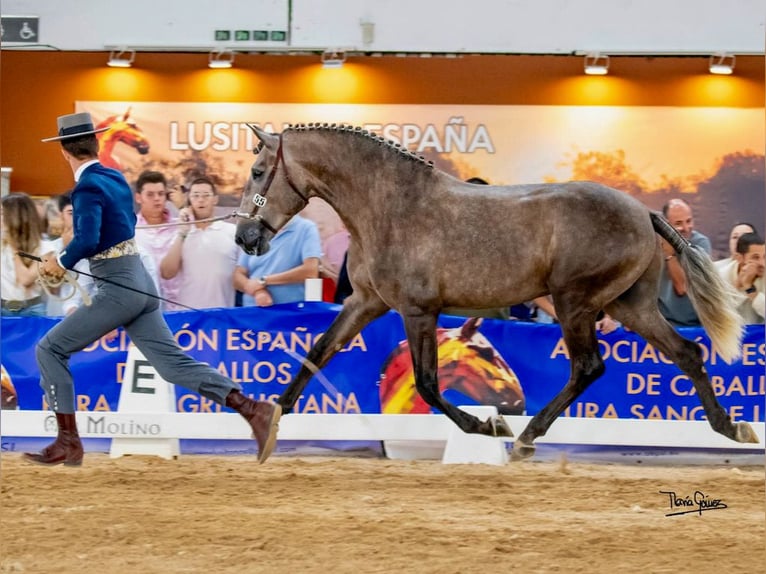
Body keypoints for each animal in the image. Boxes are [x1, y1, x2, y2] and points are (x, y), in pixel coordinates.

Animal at [236, 124, 760, 466]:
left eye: (259, 171)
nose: (245, 238)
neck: (389, 207)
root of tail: (645, 213)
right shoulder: (366, 302)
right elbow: (319, 350)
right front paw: (270, 424)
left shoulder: (418, 311)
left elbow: (429, 384)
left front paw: (490, 426)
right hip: (628, 306)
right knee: (687, 352)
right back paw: (731, 426)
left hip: (575, 303)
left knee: (589, 367)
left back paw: (526, 437)